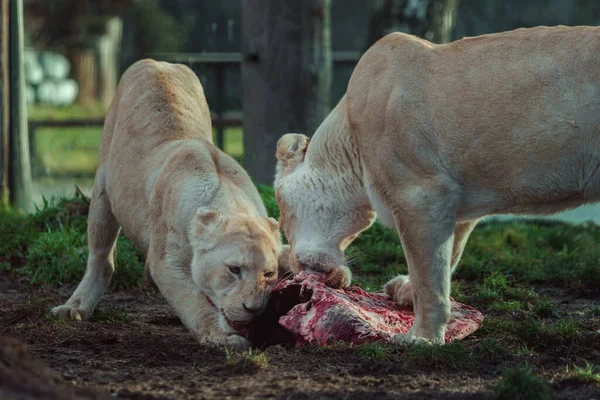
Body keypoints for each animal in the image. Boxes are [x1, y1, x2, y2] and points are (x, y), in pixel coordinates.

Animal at [52, 60, 284, 350]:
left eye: (269, 274)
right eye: (234, 270)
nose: (253, 309)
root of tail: (158, 62)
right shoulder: (165, 261)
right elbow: (194, 302)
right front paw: (221, 337)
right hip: (102, 190)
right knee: (100, 257)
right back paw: (75, 307)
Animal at [274, 25, 600, 344]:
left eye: (282, 221)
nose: (293, 268)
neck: (350, 145)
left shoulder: (420, 194)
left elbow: (428, 274)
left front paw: (421, 338)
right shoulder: (456, 205)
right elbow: (444, 261)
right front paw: (406, 293)